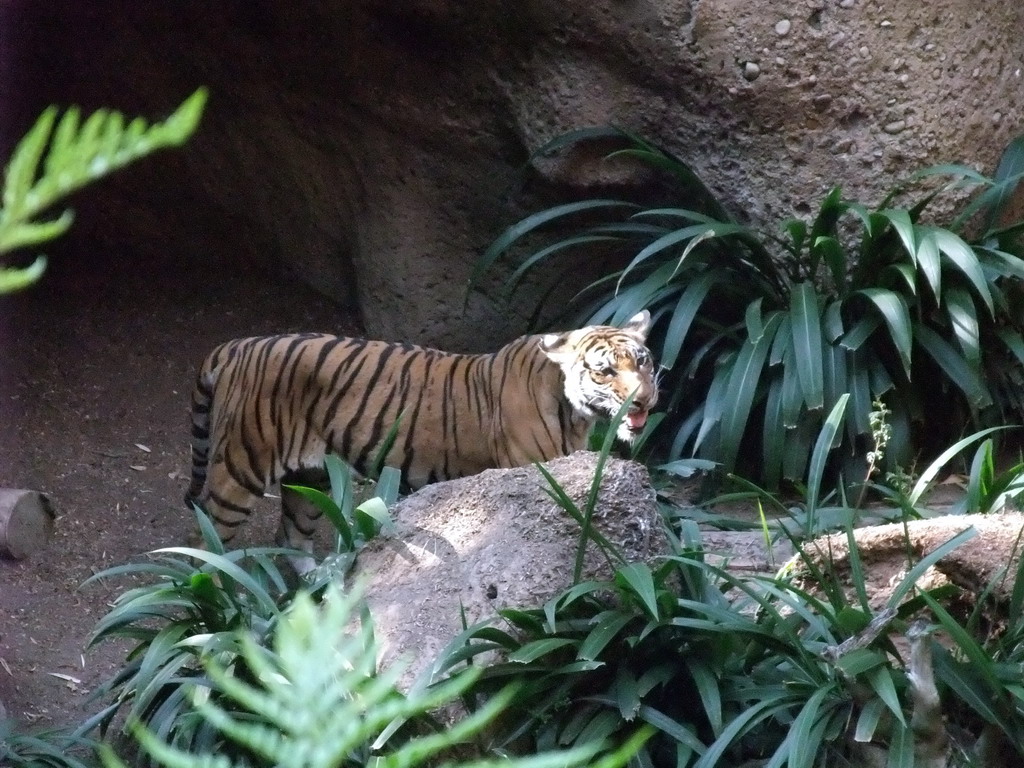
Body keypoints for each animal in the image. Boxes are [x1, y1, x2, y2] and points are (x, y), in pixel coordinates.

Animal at [184, 311, 655, 573]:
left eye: (643, 362)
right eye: (605, 371)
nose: (645, 399)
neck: (575, 412)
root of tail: (238, 344)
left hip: (310, 474)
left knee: (290, 537)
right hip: (239, 468)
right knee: (203, 546)